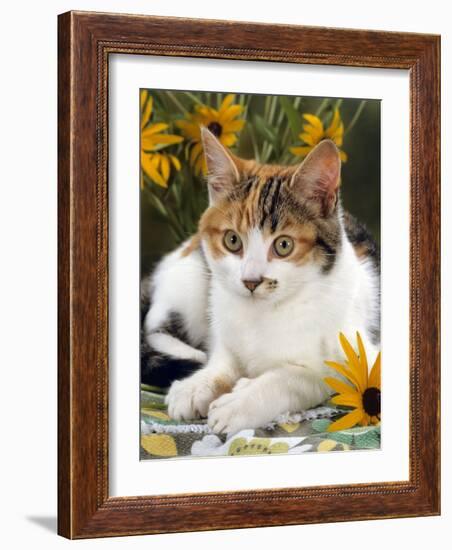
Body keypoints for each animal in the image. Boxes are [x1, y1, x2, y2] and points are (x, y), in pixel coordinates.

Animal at [142, 127, 382, 434]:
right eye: (232, 240)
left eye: (283, 245)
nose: (251, 281)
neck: (265, 312)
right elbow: (224, 358)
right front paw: (199, 384)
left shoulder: (357, 355)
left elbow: (300, 376)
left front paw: (241, 401)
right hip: (192, 273)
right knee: (154, 324)